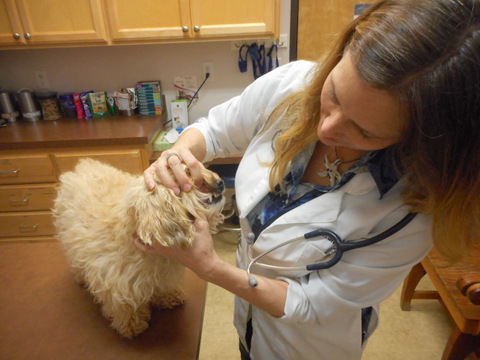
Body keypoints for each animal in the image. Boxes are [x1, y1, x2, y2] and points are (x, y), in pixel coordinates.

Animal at [52, 158, 225, 338]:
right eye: (188, 175)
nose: (220, 182)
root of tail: (83, 165)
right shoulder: (117, 283)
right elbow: (124, 306)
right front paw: (132, 324)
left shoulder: (163, 275)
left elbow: (163, 286)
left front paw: (169, 296)